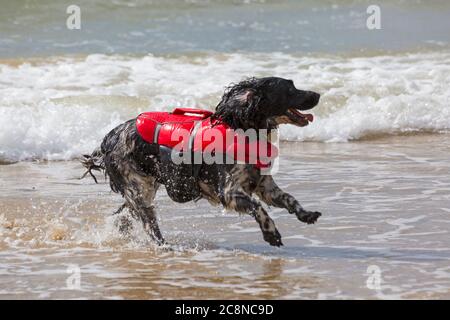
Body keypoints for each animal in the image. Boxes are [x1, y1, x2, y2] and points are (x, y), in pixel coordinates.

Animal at [81, 77, 320, 248]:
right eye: (290, 89)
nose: (318, 93)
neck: (243, 128)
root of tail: (108, 139)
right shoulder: (228, 192)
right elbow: (257, 207)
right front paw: (271, 233)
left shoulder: (264, 185)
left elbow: (289, 198)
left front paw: (306, 214)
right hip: (139, 190)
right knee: (149, 225)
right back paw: (165, 247)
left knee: (123, 215)